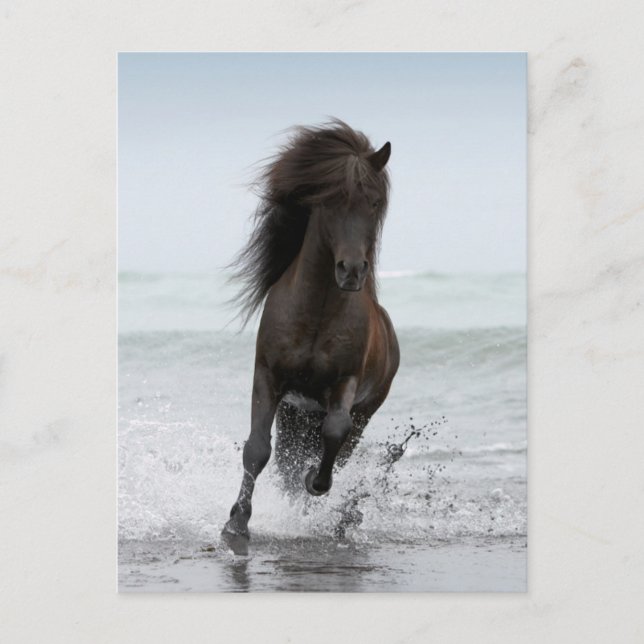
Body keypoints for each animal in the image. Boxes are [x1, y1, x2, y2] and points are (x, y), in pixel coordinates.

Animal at [222, 120, 399, 553]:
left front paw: (313, 483)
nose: (351, 270)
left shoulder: (344, 384)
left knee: (335, 447)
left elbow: (332, 435)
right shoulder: (268, 377)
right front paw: (236, 523)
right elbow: (256, 449)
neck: (317, 312)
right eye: (330, 201)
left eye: (373, 203)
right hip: (294, 412)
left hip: (361, 412)